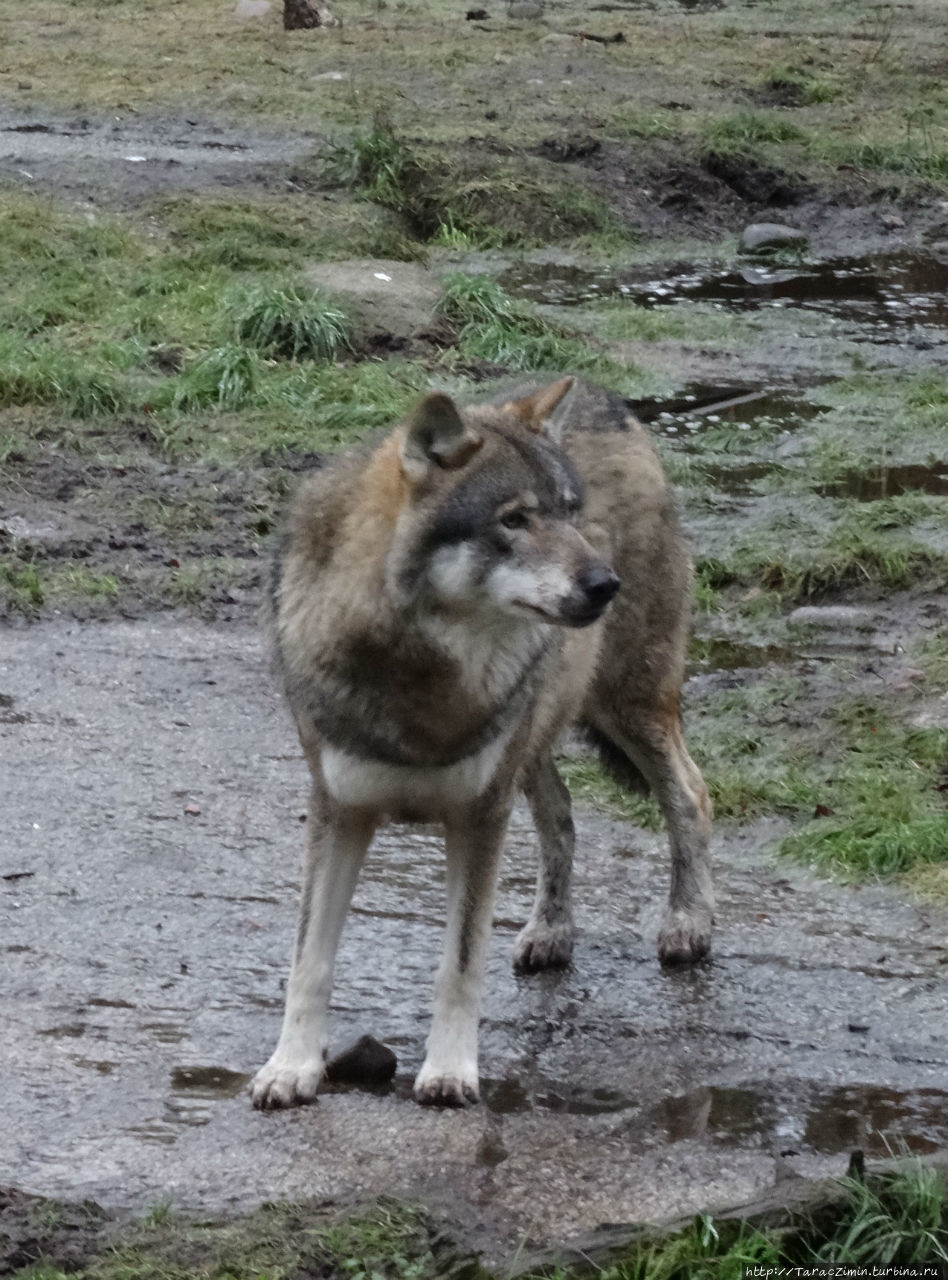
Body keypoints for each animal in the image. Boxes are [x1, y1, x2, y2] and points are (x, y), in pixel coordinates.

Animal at [252, 373, 711, 1111]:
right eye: (514, 519)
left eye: (570, 512)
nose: (604, 583)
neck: (417, 675)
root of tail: (607, 394)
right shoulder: (338, 809)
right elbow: (309, 961)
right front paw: (290, 1068)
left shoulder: (478, 814)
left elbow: (460, 965)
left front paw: (449, 1072)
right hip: (535, 736)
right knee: (561, 814)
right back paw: (552, 931)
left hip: (628, 707)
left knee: (692, 795)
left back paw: (688, 923)